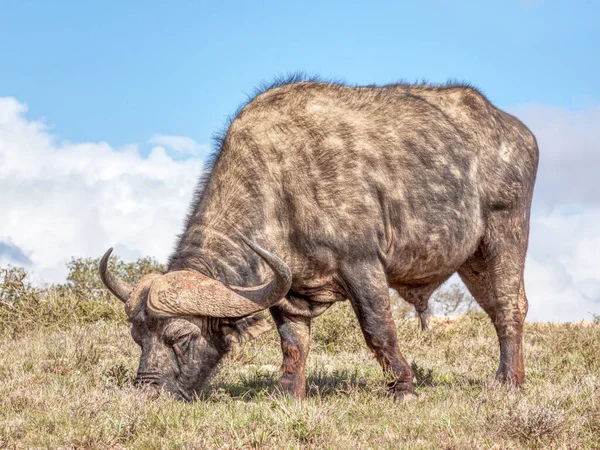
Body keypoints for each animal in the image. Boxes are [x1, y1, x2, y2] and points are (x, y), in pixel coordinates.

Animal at [98, 77, 540, 400]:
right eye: (138, 337)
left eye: (181, 337)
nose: (146, 392)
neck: (282, 184)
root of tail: (517, 130)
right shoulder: (287, 289)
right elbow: (293, 342)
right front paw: (288, 392)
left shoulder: (362, 264)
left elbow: (378, 329)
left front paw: (404, 388)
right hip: (472, 259)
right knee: (495, 309)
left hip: (505, 232)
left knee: (509, 306)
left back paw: (509, 382)